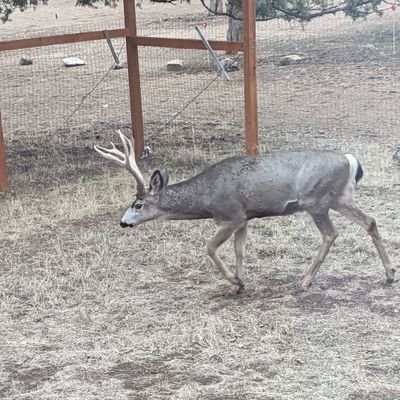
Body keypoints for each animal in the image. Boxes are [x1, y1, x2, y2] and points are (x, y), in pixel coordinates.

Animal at [95, 130, 396, 290]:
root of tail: (349, 159)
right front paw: (241, 281)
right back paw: (390, 274)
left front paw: (234, 281)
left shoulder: (231, 215)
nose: (122, 222)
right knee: (370, 220)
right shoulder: (245, 218)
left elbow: (210, 247)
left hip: (316, 201)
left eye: (137, 204)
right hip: (340, 197)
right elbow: (240, 249)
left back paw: (305, 280)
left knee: (331, 234)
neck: (207, 197)